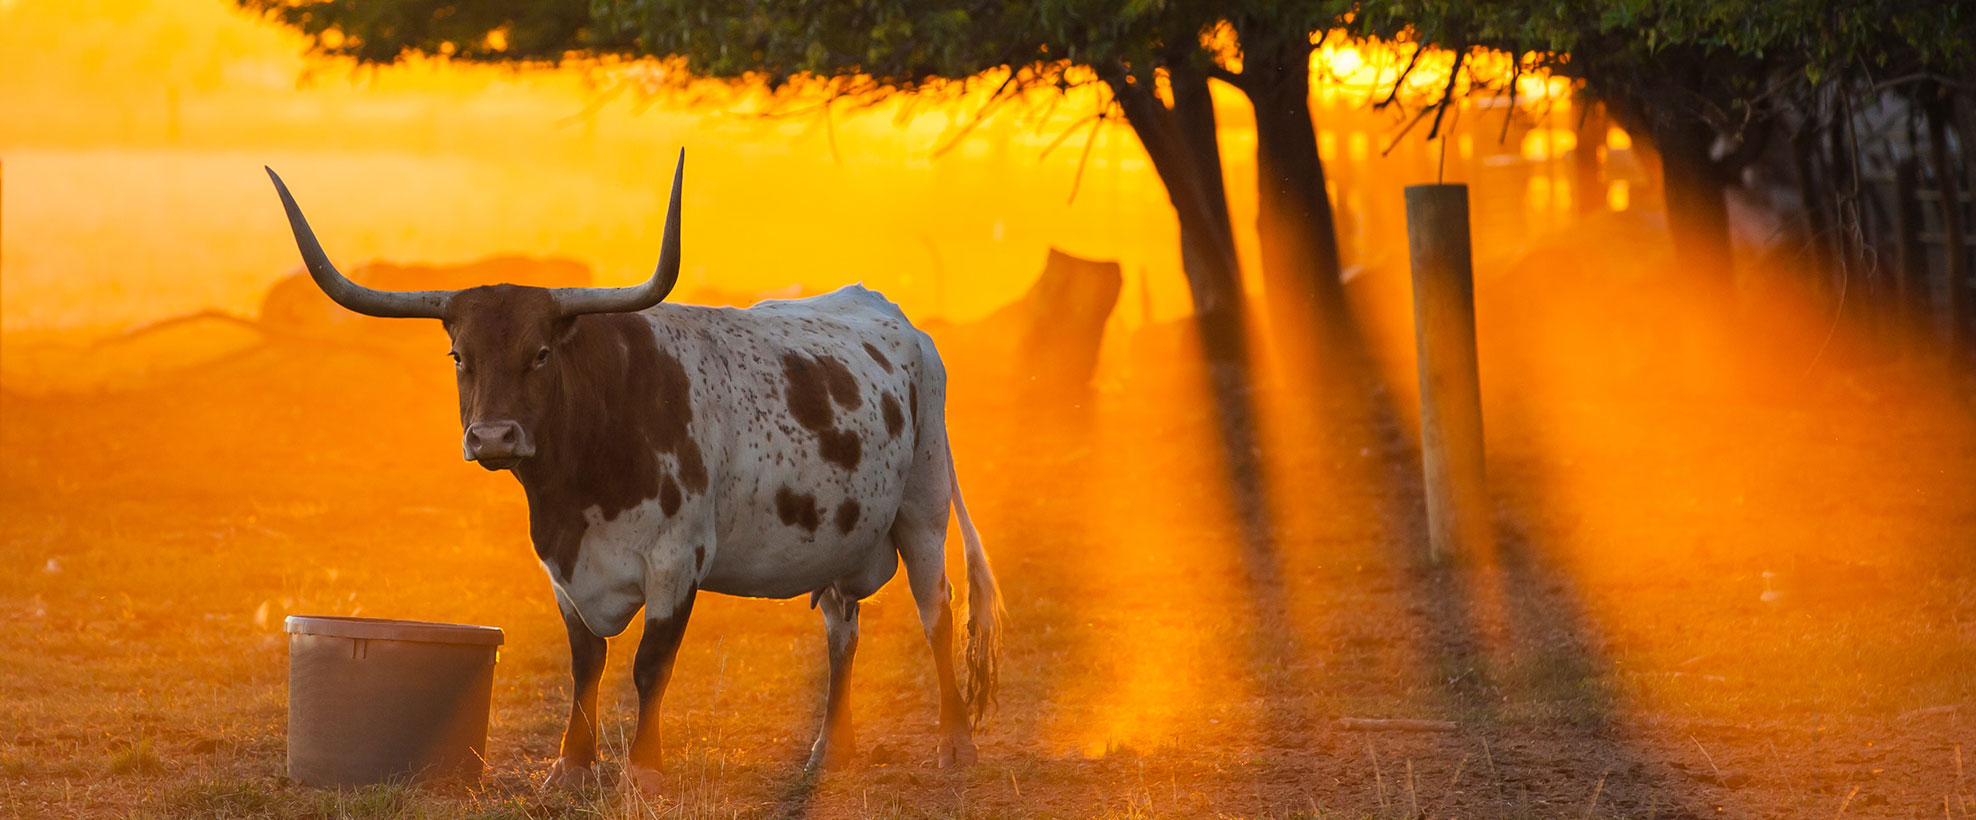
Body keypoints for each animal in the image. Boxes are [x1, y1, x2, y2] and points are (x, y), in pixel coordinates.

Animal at [262, 152, 1003, 790]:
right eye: (458, 357)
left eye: (539, 353)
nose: (493, 436)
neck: (577, 488)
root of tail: (896, 317)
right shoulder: (563, 567)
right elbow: (586, 664)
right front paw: (571, 767)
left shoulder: (678, 560)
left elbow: (651, 666)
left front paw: (643, 770)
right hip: (842, 536)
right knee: (843, 630)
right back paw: (830, 749)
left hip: (923, 509)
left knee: (937, 613)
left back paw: (955, 743)